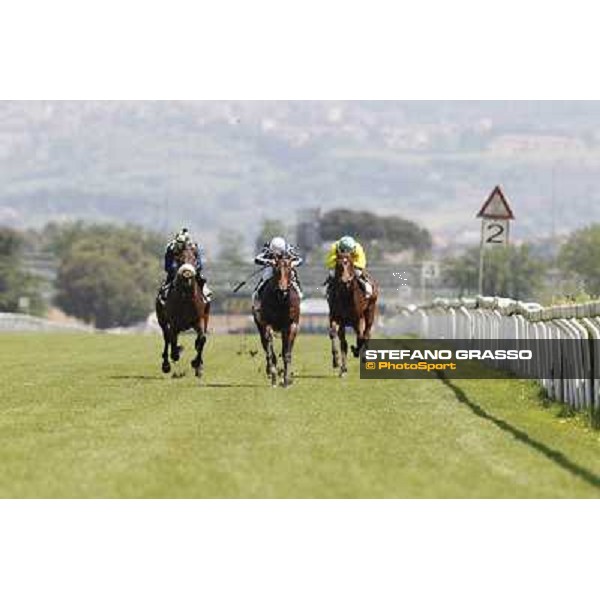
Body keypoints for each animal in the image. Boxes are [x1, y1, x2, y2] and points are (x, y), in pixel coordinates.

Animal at [155, 245, 211, 378]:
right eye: (179, 259)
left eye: (194, 259)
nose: (187, 274)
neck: (186, 298)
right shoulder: (174, 322)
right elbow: (172, 340)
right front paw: (176, 354)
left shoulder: (198, 319)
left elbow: (202, 339)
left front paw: (197, 364)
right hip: (162, 320)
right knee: (167, 337)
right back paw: (166, 364)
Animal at [252, 254, 300, 386]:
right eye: (276, 271)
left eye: (289, 270)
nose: (282, 291)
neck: (281, 301)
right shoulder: (267, 324)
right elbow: (270, 351)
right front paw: (273, 375)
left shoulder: (291, 326)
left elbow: (286, 353)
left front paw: (286, 379)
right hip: (260, 326)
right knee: (266, 346)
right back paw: (270, 371)